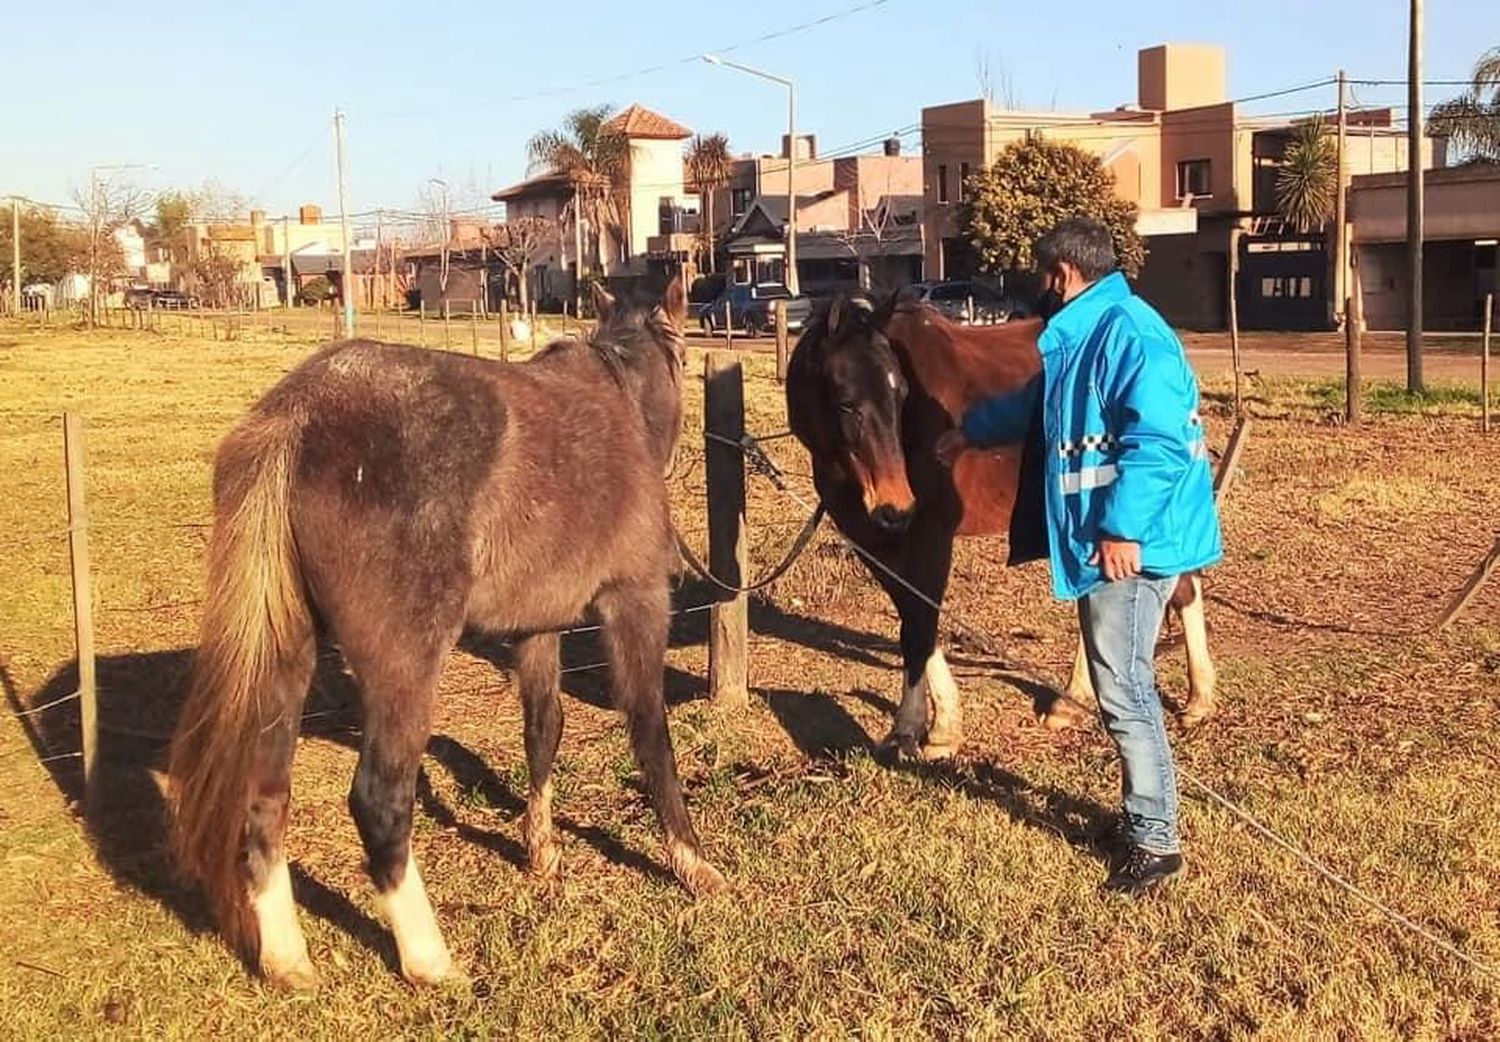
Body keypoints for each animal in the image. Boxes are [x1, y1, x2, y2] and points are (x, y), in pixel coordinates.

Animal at [170, 278, 726, 995]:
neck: (618, 405)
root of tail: (300, 414)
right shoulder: (636, 601)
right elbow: (650, 731)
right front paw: (690, 860)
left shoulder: (536, 626)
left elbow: (543, 729)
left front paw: (541, 849)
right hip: (405, 669)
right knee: (379, 801)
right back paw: (430, 960)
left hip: (287, 659)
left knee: (265, 799)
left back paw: (287, 961)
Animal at [786, 296, 1218, 761]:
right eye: (846, 403)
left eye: (901, 395)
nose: (896, 506)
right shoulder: (871, 540)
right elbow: (912, 617)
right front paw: (937, 724)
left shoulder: (930, 535)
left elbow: (921, 622)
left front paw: (921, 729)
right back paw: (1095, 701)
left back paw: (1184, 699)